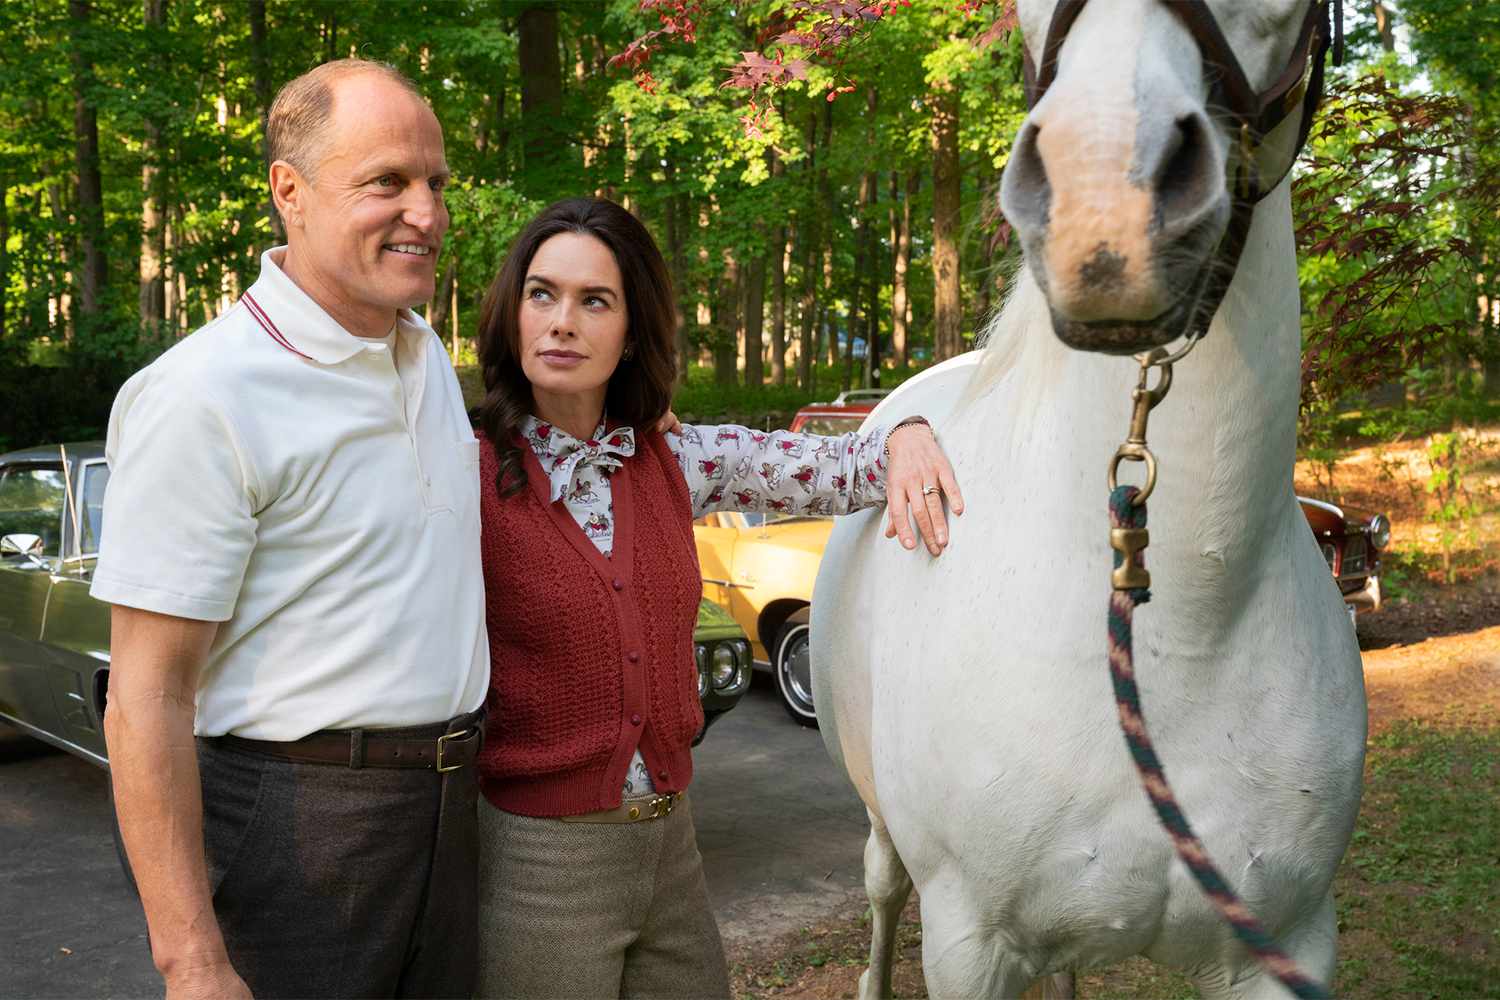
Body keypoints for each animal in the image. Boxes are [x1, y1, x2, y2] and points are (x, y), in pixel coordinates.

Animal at [816, 3, 1368, 995]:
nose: (1103, 209)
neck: (1181, 638)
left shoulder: (1287, 939)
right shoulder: (969, 945)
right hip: (882, 827)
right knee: (880, 891)